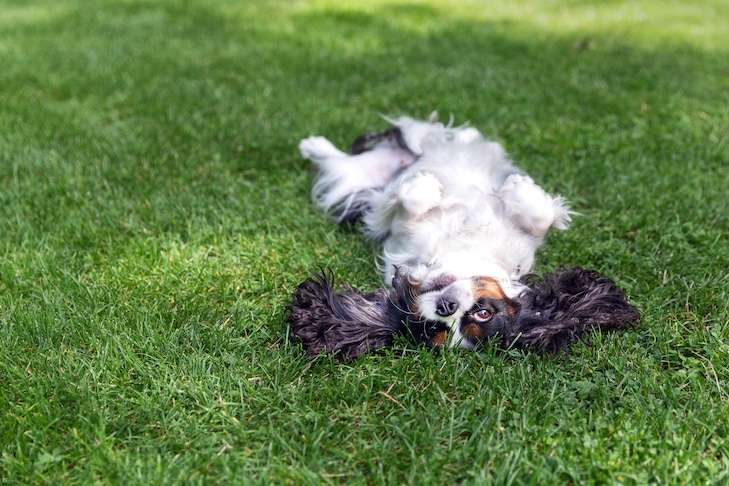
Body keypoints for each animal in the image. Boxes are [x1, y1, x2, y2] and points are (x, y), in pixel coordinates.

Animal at [284, 112, 636, 358]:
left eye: (482, 313)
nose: (446, 307)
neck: (457, 251)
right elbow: (539, 215)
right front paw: (513, 187)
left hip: (359, 176)